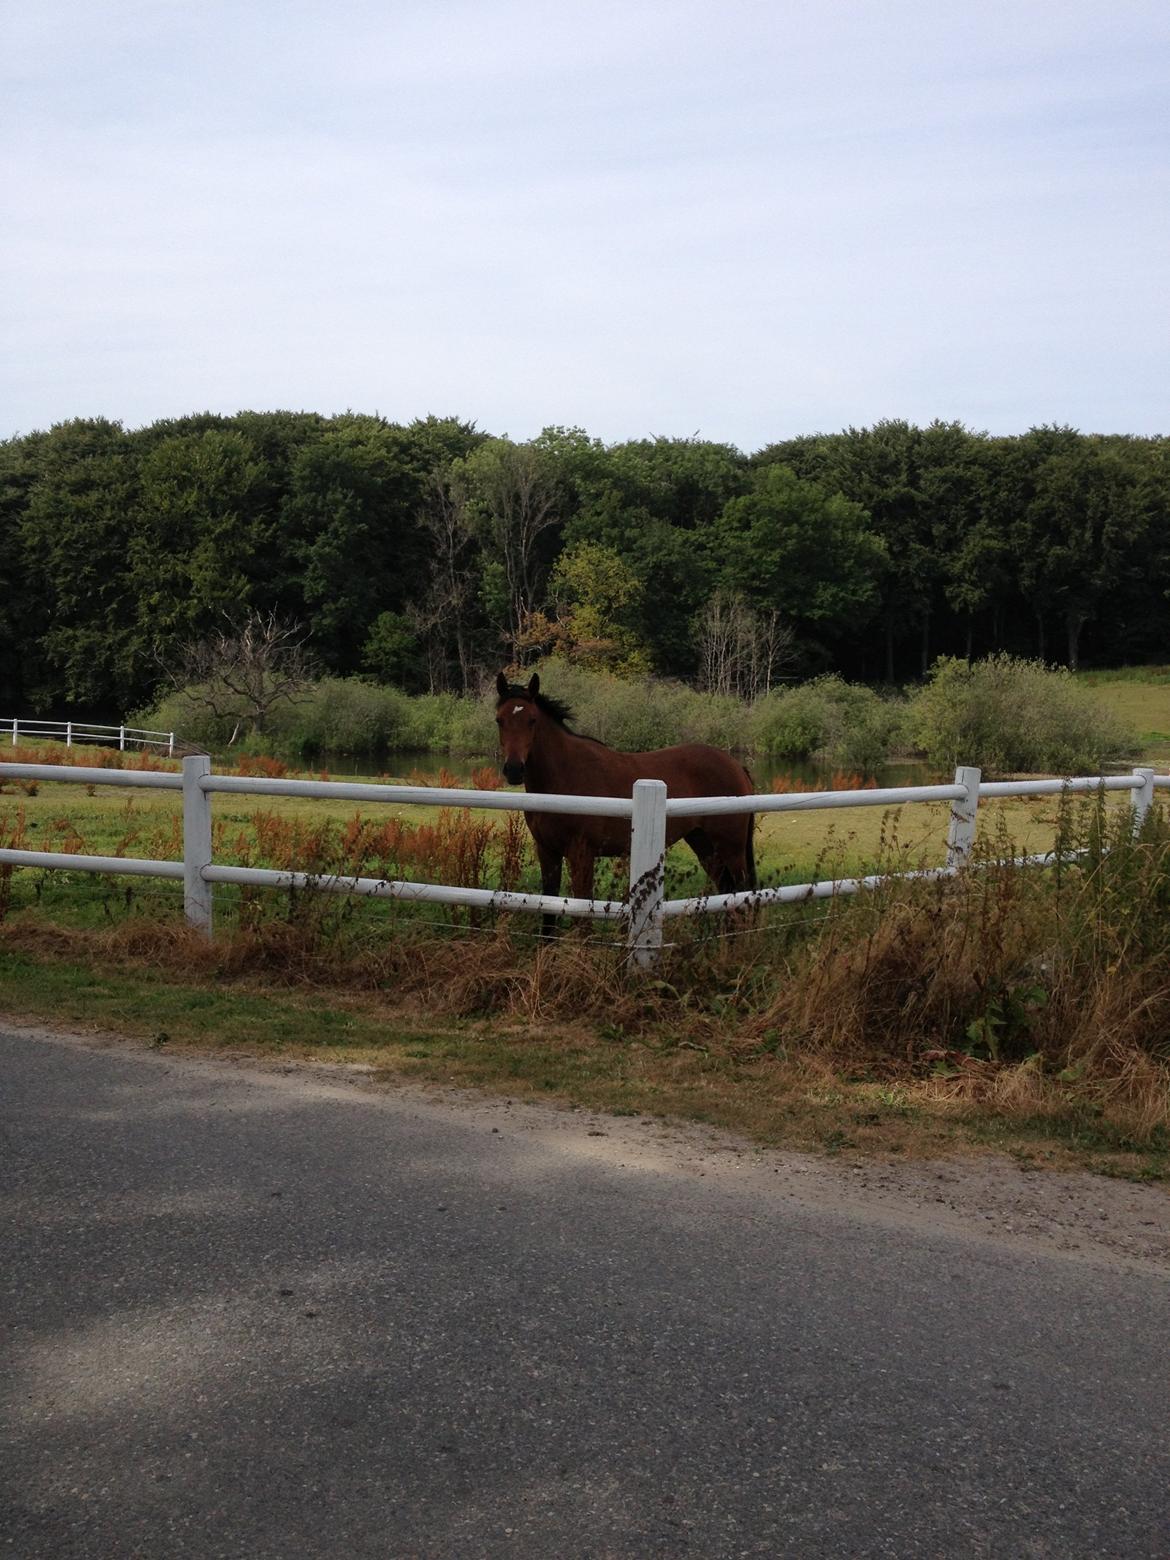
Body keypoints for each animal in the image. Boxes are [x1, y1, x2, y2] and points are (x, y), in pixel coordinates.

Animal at [496, 667, 761, 929]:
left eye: (532, 720)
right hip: (704, 845)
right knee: (727, 895)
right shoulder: (547, 851)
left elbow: (583, 914)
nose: (514, 769)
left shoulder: (581, 853)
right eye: (500, 720)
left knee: (741, 896)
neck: (563, 778)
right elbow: (548, 909)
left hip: (731, 849)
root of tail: (736, 765)